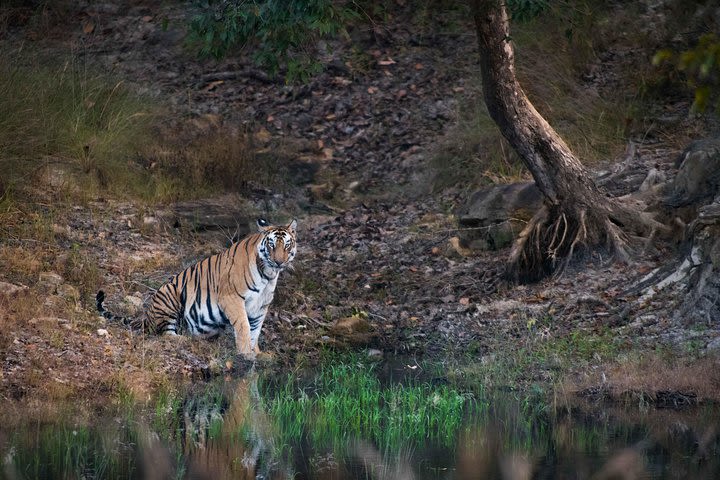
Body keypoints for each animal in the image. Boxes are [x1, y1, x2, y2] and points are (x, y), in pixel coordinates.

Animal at [97, 218, 296, 360]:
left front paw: (258, 354)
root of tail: (148, 315)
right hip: (169, 295)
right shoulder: (232, 298)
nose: (279, 261)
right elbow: (244, 327)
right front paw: (246, 354)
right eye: (271, 244)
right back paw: (183, 339)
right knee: (166, 333)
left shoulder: (261, 306)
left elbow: (256, 330)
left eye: (287, 245)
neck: (268, 275)